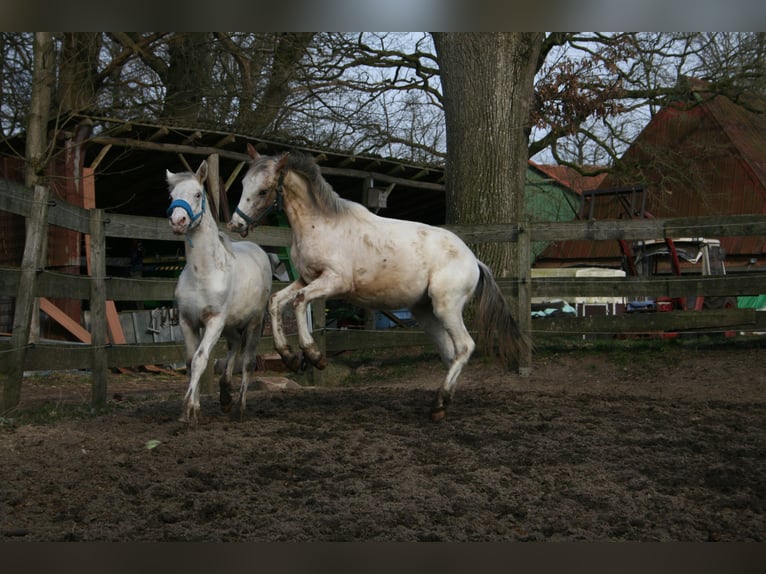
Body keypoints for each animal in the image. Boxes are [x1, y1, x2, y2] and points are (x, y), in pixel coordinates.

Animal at [228, 146, 528, 420]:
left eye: (263, 190)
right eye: (243, 184)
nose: (235, 225)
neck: (320, 225)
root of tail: (474, 260)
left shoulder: (334, 282)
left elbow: (301, 302)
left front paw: (314, 356)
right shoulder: (306, 278)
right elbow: (276, 302)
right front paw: (289, 357)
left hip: (447, 307)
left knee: (465, 346)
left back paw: (439, 403)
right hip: (426, 312)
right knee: (451, 351)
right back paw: (443, 402)